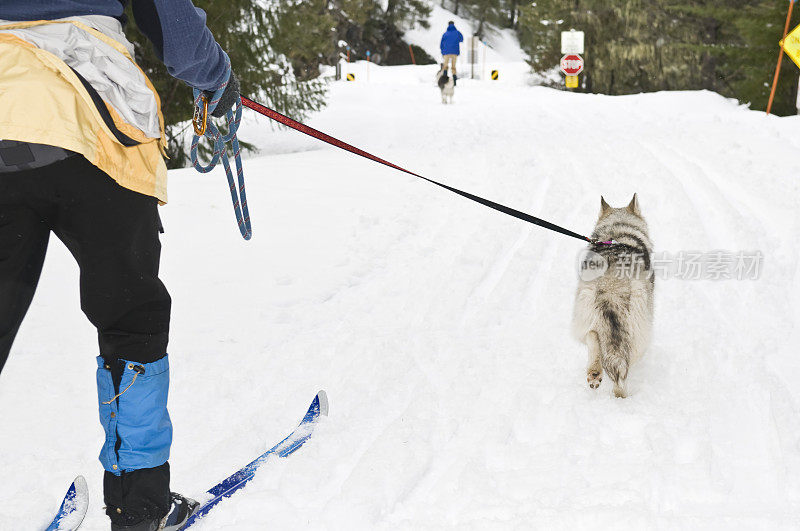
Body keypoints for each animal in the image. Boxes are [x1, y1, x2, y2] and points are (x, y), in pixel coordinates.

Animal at [572, 195, 652, 400]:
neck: (617, 234)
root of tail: (611, 284)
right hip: (639, 334)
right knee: (623, 365)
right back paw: (620, 395)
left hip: (583, 310)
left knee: (592, 335)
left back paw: (594, 372)